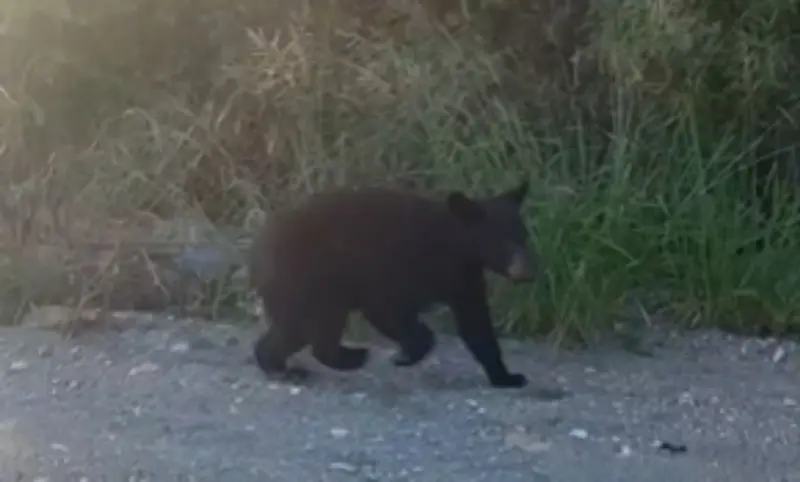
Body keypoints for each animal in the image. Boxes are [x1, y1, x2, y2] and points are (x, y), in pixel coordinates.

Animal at [247, 180, 538, 388]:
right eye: (501, 241)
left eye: (523, 236)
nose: (526, 272)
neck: (452, 246)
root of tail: (258, 249)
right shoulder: (395, 265)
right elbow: (386, 309)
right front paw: (406, 354)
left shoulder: (463, 278)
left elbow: (476, 323)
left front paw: (508, 377)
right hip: (310, 278)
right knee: (318, 326)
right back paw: (348, 358)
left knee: (297, 329)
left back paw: (282, 367)